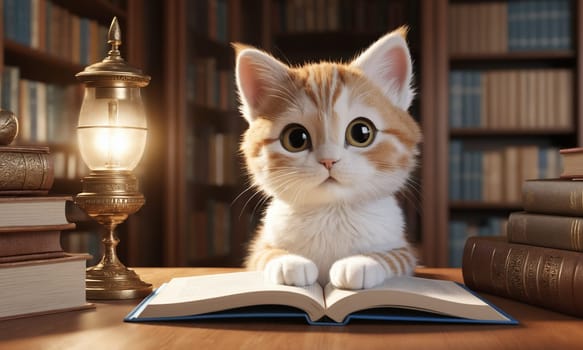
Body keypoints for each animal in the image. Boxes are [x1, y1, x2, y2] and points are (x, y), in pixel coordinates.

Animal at [235, 28, 422, 290]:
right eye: (296, 138)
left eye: (361, 132)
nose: (328, 160)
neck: (332, 213)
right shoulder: (258, 248)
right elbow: (266, 254)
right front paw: (290, 263)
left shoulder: (405, 251)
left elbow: (392, 257)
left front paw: (359, 263)